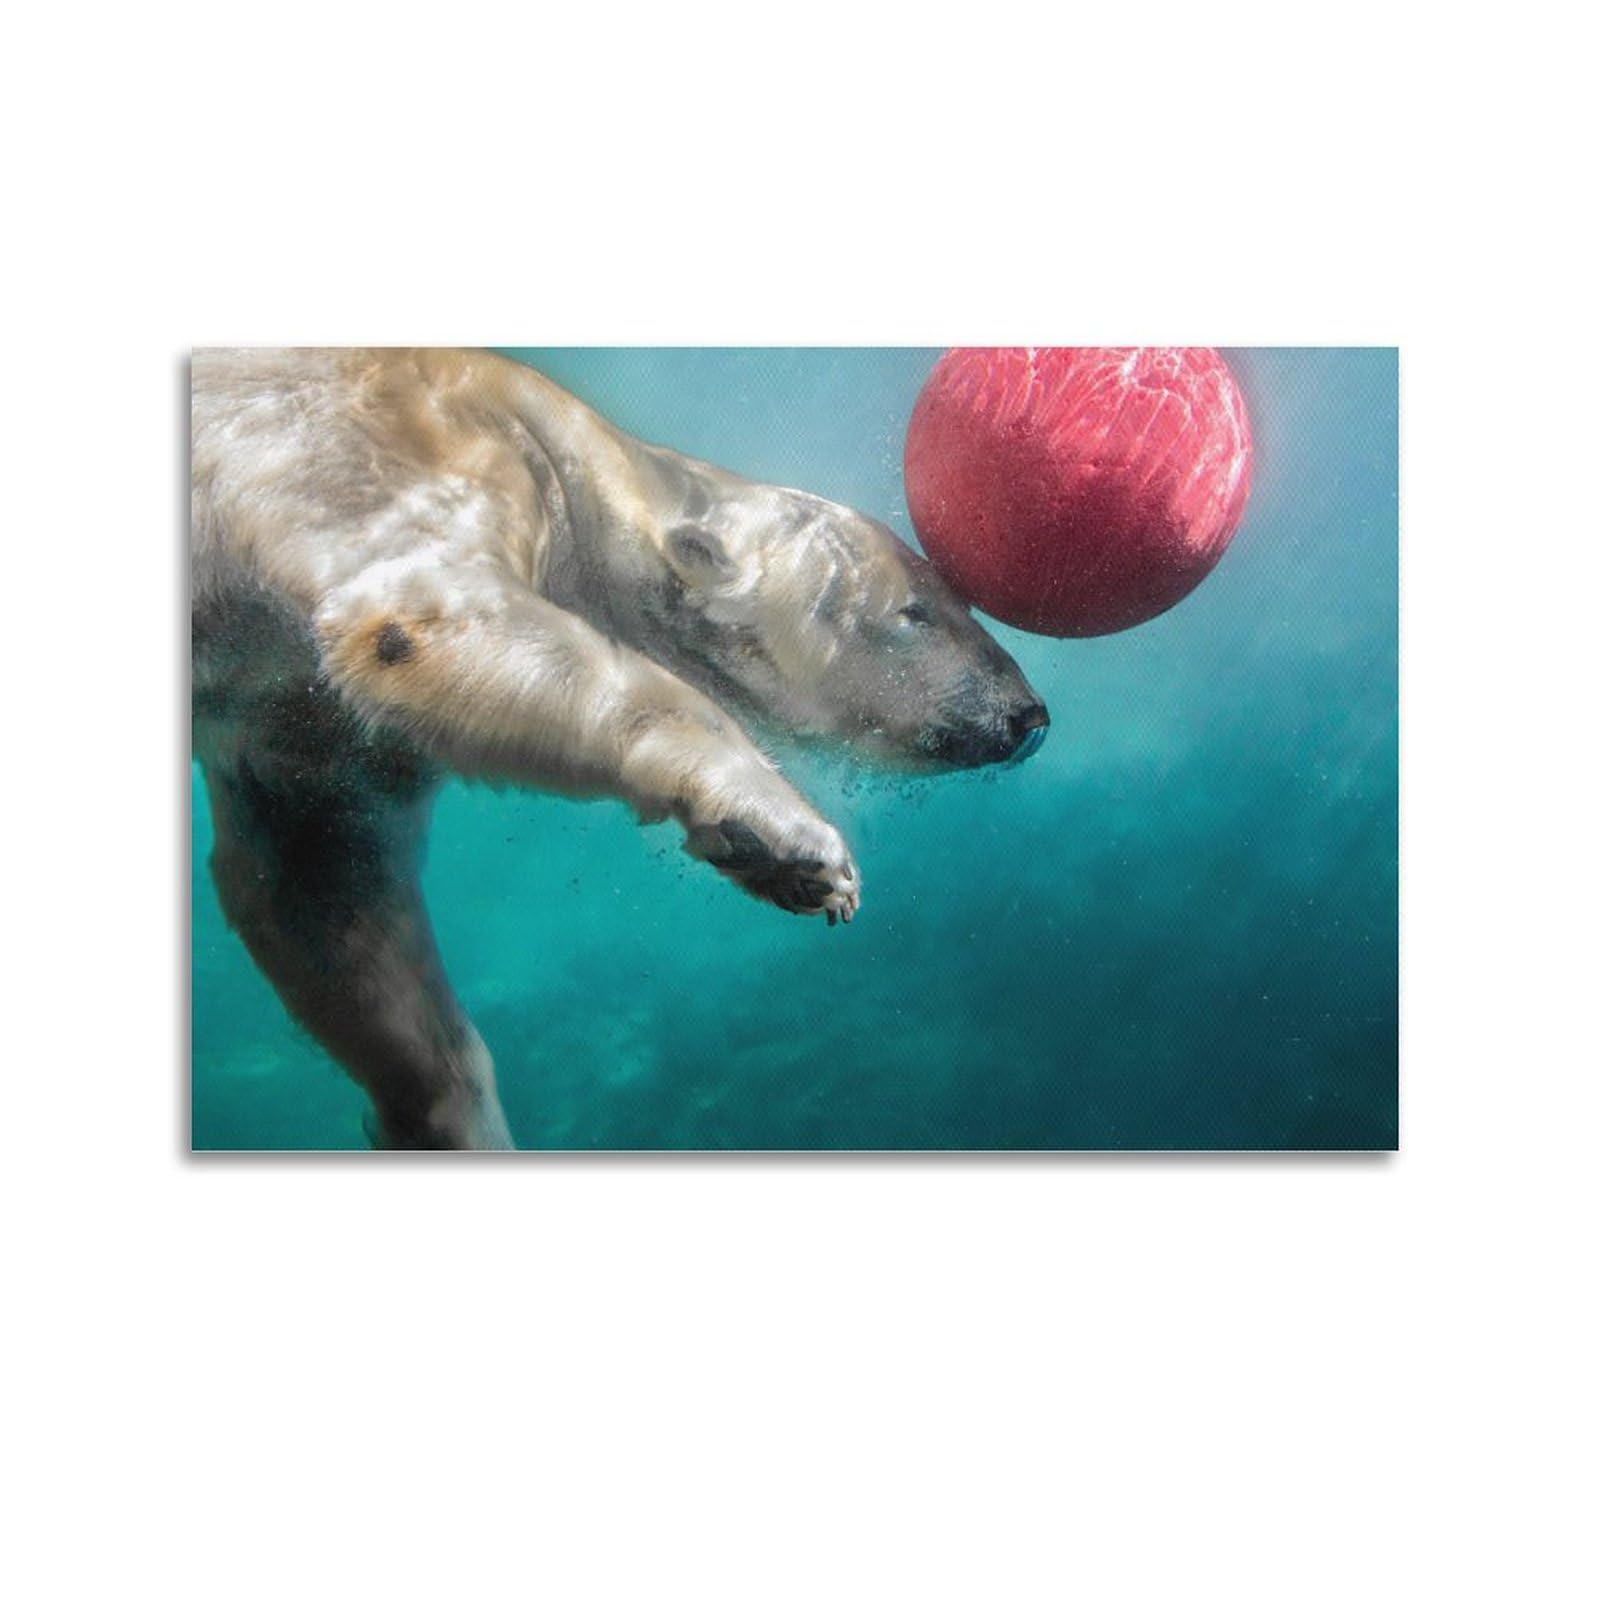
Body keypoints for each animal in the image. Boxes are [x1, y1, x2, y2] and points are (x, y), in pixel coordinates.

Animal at [191, 349, 1049, 1150]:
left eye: (959, 603)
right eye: (916, 613)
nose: (1027, 715)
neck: (573, 462)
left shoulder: (299, 712)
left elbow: (318, 868)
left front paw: (449, 1114)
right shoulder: (405, 460)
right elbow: (423, 620)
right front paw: (789, 842)